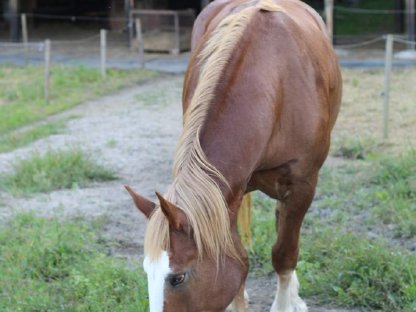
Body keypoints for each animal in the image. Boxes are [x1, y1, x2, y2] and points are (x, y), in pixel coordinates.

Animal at [126, 0, 342, 310]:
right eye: (146, 270)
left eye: (177, 278)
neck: (275, 81)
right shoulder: (226, 196)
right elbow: (238, 259)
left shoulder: (303, 185)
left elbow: (284, 254)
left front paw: (285, 301)